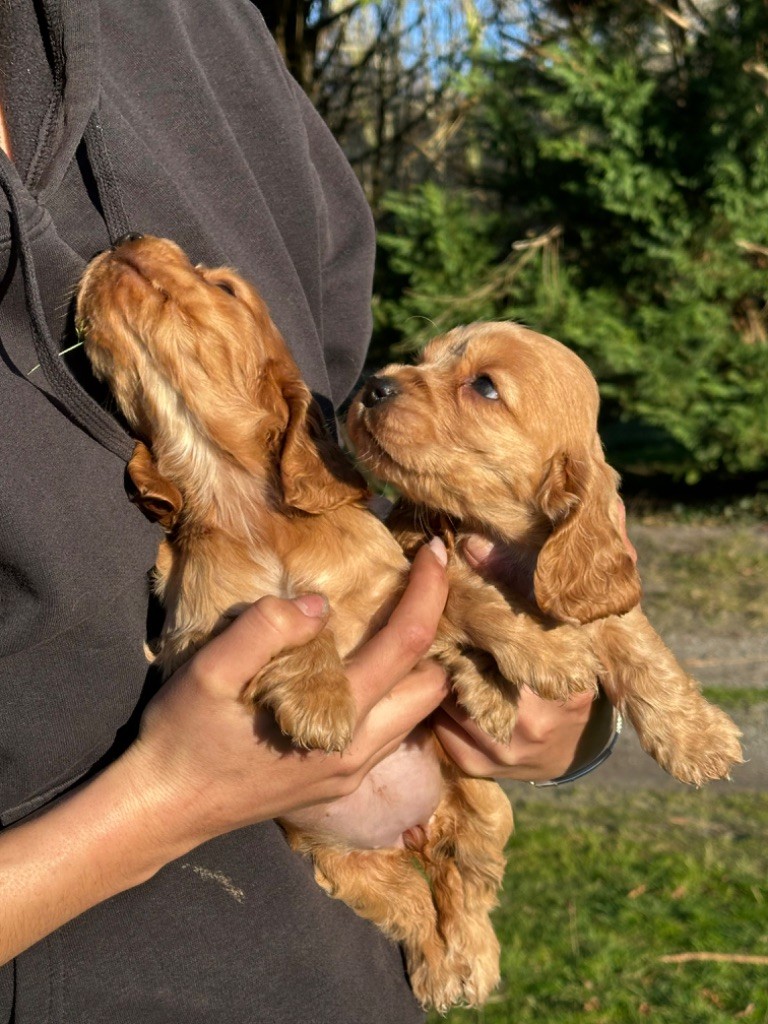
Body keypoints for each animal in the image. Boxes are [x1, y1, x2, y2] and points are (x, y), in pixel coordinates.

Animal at [75, 235, 610, 1011]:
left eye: (224, 287)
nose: (125, 244)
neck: (248, 509)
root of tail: (412, 833)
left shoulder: (396, 579)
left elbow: (462, 594)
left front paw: (546, 654)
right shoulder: (188, 639)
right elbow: (285, 612)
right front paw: (320, 696)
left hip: (484, 806)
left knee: (467, 883)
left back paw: (471, 961)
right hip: (340, 864)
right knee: (415, 909)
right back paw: (442, 968)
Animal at [348, 323, 745, 786]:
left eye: (485, 386)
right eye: (422, 360)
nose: (375, 385)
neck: (501, 533)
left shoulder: (586, 588)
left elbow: (635, 639)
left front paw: (697, 736)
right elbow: (462, 588)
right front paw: (548, 656)